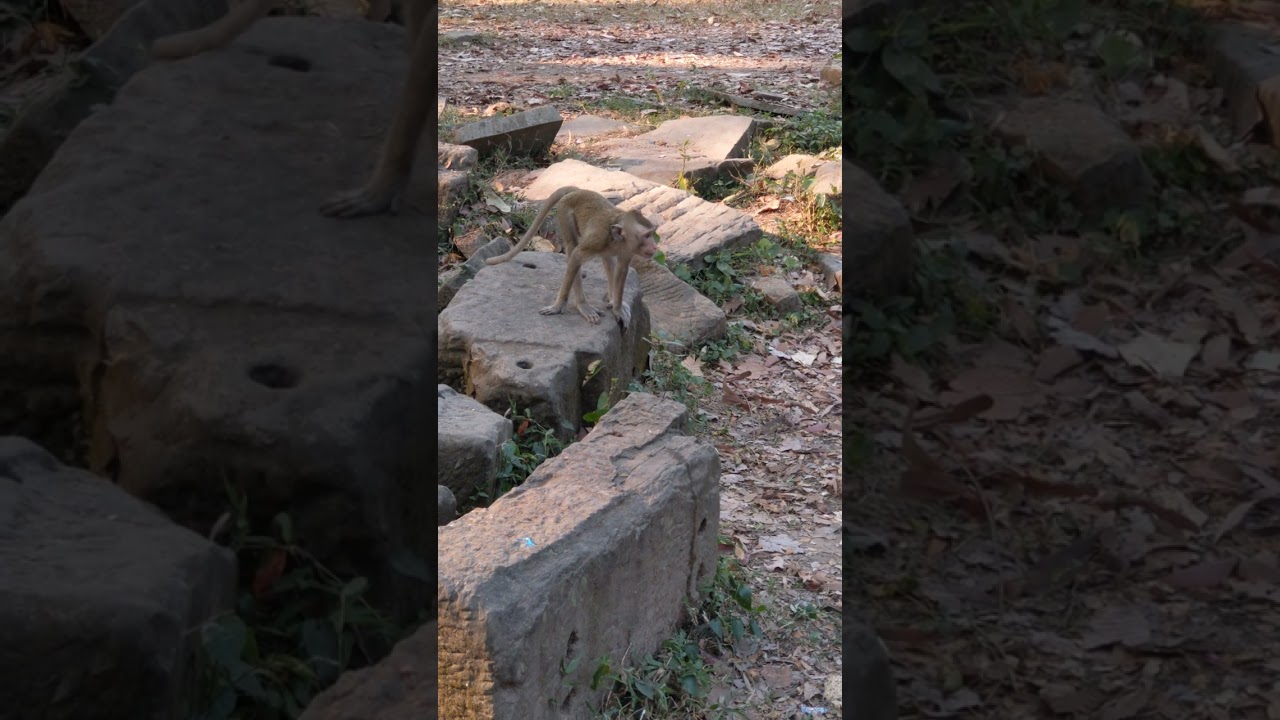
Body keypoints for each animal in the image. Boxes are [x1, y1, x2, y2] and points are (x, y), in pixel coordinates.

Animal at [486, 187, 658, 327]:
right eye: (647, 235)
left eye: (652, 233)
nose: (655, 246)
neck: (618, 240)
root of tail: (579, 191)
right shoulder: (598, 240)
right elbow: (576, 255)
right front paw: (558, 306)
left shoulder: (627, 250)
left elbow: (622, 269)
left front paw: (618, 307)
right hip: (564, 210)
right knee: (571, 247)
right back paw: (582, 305)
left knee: (606, 259)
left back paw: (611, 298)